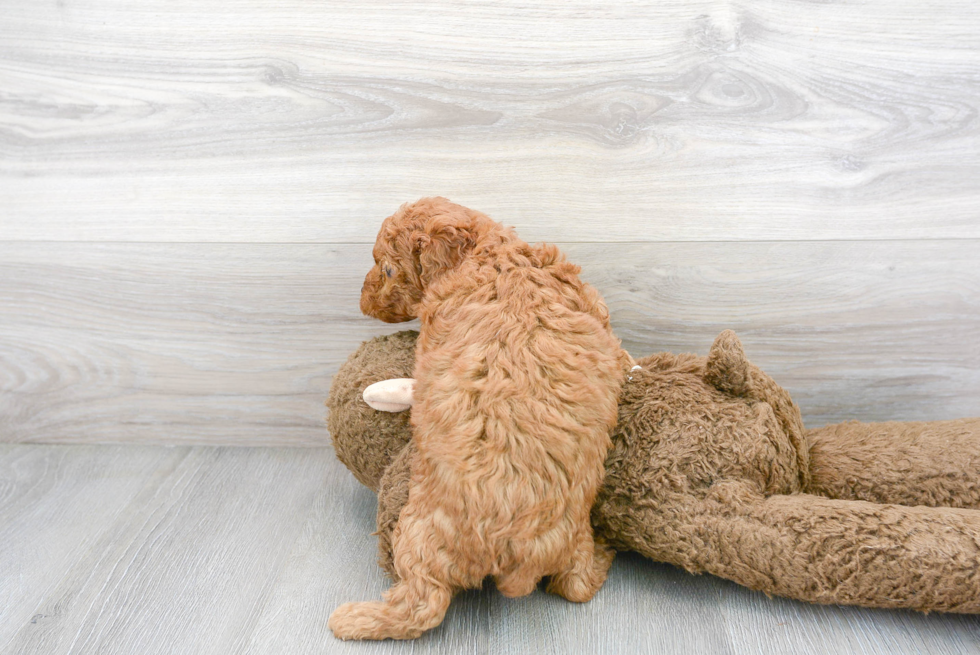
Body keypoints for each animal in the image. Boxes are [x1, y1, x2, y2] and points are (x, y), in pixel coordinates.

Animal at [330, 197, 628, 640]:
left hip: (416, 533)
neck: (494, 256)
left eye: (386, 269)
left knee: (421, 606)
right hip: (572, 537)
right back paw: (604, 553)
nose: (362, 301)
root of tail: (512, 553)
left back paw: (353, 618)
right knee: (576, 586)